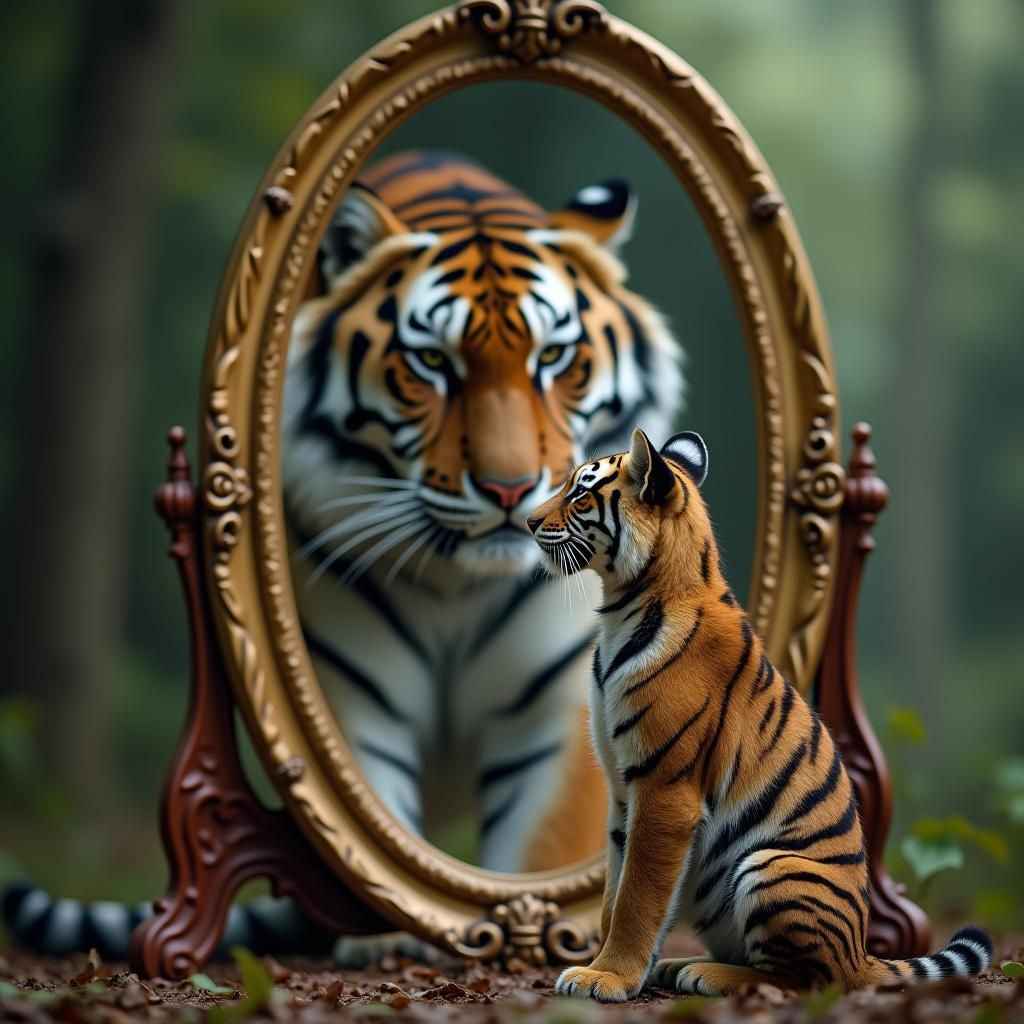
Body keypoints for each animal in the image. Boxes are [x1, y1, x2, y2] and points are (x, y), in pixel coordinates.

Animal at [528, 427, 993, 1000]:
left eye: (579, 493)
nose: (528, 521)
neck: (620, 608)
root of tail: (862, 950)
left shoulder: (664, 788)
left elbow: (637, 896)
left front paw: (606, 976)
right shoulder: (621, 789)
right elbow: (613, 896)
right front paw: (607, 967)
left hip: (773, 867)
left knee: (811, 980)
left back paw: (704, 973)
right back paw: (676, 966)